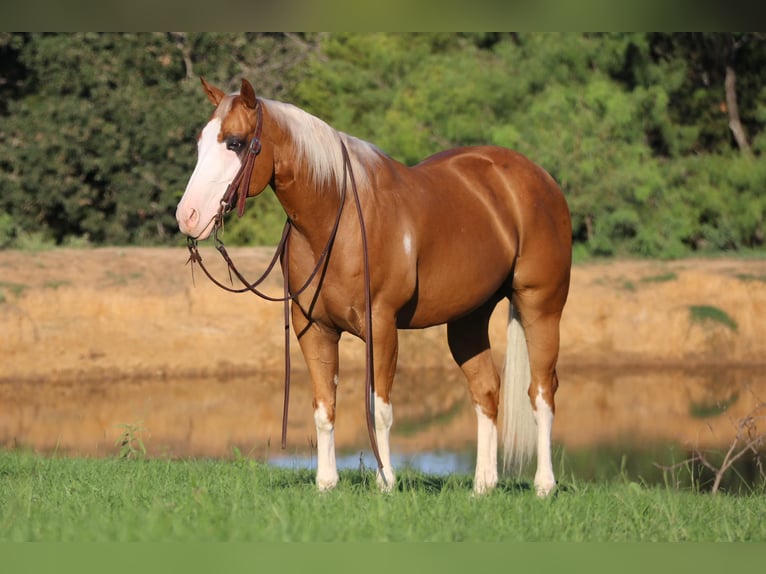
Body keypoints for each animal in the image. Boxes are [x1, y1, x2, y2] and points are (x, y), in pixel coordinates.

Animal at [176, 77, 568, 500]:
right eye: (200, 142)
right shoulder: (314, 329)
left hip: (541, 307)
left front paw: (386, 481)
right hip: (468, 320)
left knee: (542, 392)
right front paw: (326, 482)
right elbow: (324, 407)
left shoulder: (381, 326)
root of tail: (539, 179)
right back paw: (483, 485)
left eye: (235, 142)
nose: (188, 216)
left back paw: (544, 485)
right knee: (487, 391)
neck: (337, 216)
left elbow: (379, 410)